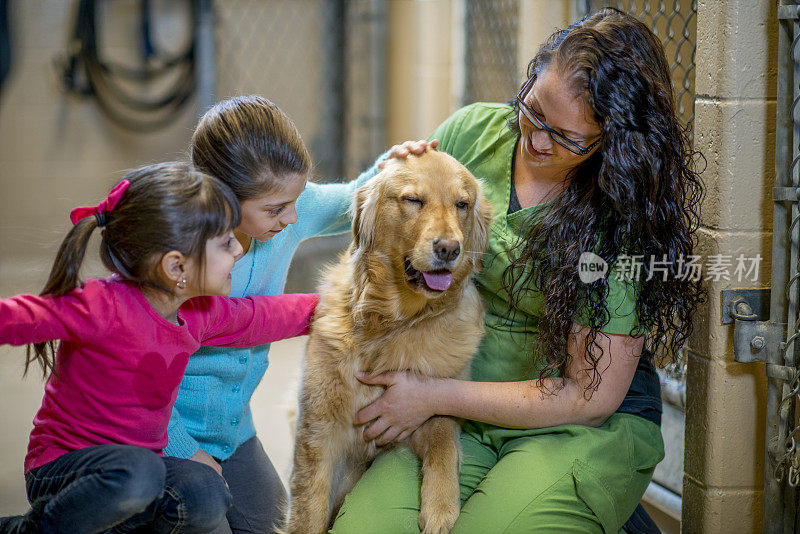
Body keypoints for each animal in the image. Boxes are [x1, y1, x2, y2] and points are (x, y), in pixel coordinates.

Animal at [284, 148, 490, 534]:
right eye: (412, 200)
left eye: (462, 204)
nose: (449, 249)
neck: (393, 324)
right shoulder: (318, 432)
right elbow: (308, 511)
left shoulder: (429, 406)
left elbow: (443, 442)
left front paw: (441, 508)